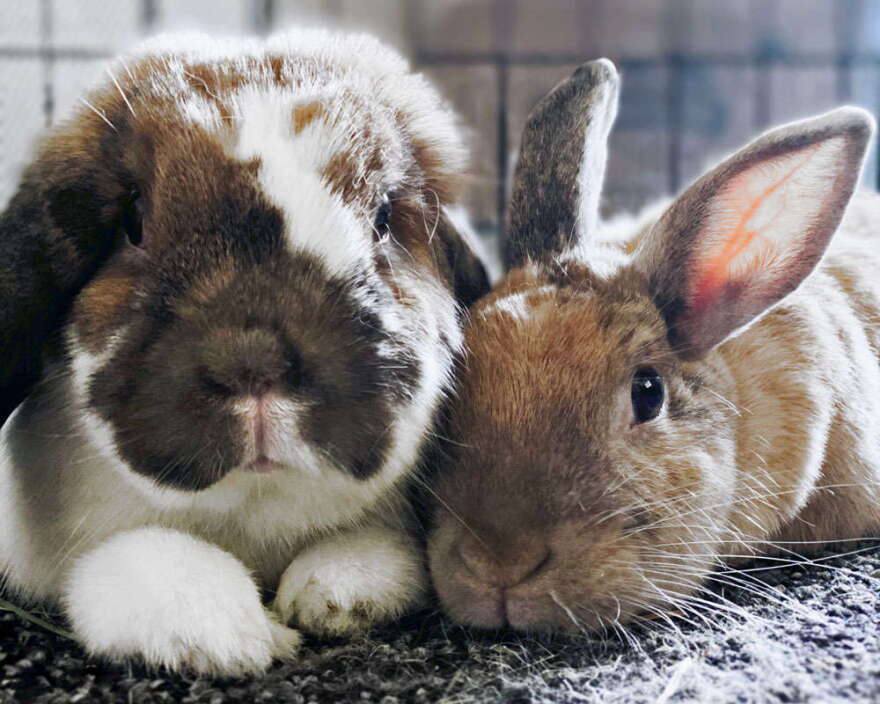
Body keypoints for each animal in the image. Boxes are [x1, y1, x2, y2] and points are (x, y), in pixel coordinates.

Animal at [0, 28, 489, 675]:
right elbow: (135, 561)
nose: (255, 362)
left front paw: (331, 596)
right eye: (132, 220)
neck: (250, 508)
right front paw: (237, 636)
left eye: (384, 218)